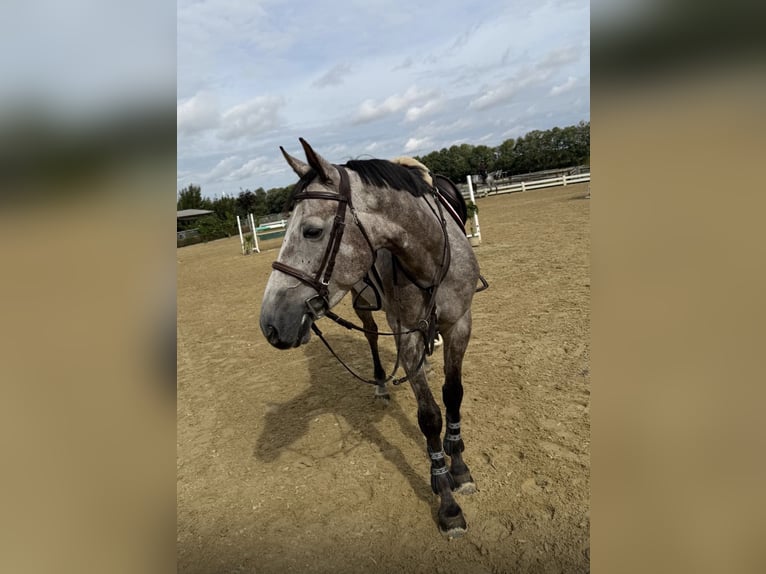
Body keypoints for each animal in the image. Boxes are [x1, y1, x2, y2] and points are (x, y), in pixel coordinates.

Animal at [259, 138, 482, 537]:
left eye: (312, 231)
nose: (270, 324)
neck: (429, 260)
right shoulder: (405, 334)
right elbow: (430, 416)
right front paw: (447, 500)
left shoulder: (460, 324)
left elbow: (453, 395)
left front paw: (459, 467)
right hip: (363, 300)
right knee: (372, 335)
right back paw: (380, 384)